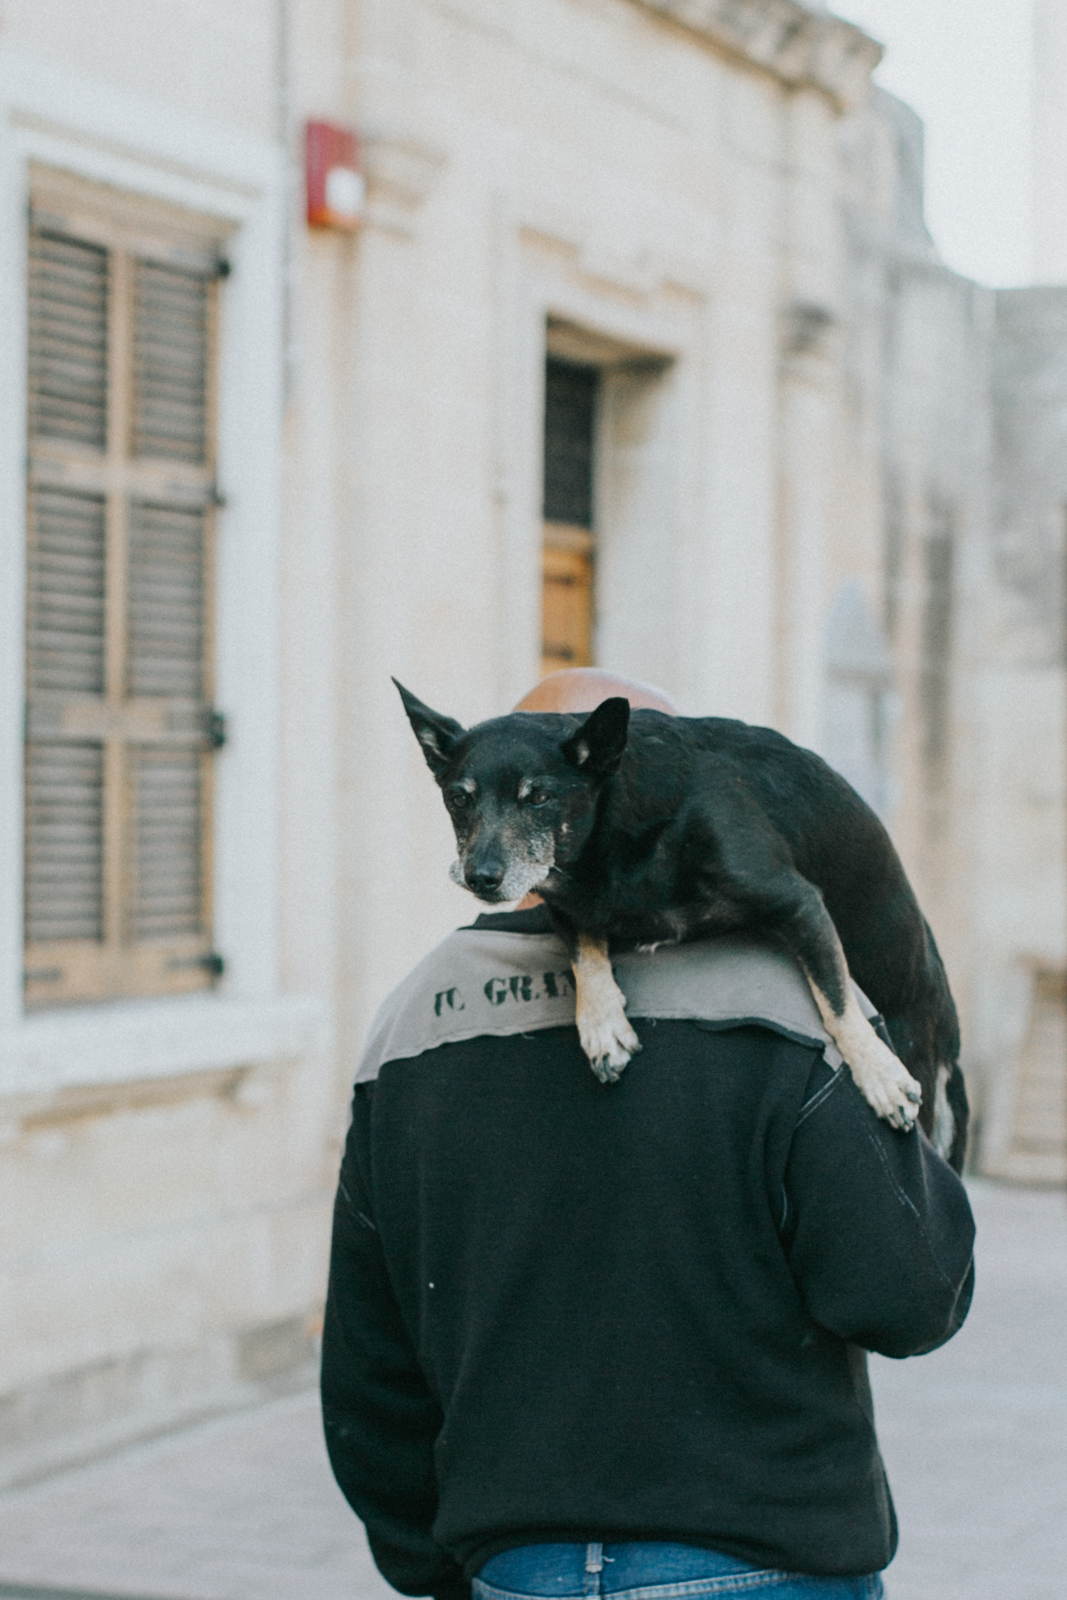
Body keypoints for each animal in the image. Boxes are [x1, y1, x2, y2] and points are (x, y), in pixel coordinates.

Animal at [396, 675, 972, 1177]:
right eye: (459, 799)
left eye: (537, 797)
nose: (481, 877)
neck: (616, 842)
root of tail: (946, 1017)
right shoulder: (563, 897)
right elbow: (584, 950)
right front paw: (601, 1023)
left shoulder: (799, 902)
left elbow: (837, 1002)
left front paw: (877, 1072)